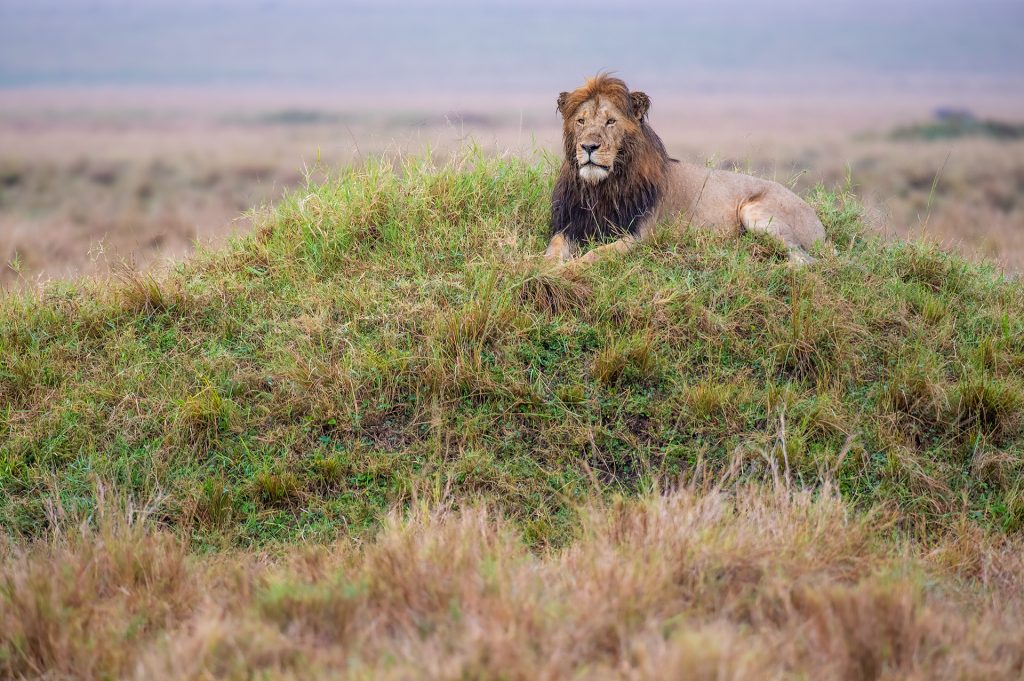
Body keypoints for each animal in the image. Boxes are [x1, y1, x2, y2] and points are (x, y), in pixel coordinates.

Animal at [545, 74, 827, 266]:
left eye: (611, 121)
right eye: (581, 121)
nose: (588, 146)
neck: (600, 188)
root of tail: (819, 224)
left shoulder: (638, 235)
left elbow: (596, 254)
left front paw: (569, 268)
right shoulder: (570, 226)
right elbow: (553, 249)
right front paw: (544, 267)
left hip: (756, 211)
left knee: (805, 259)